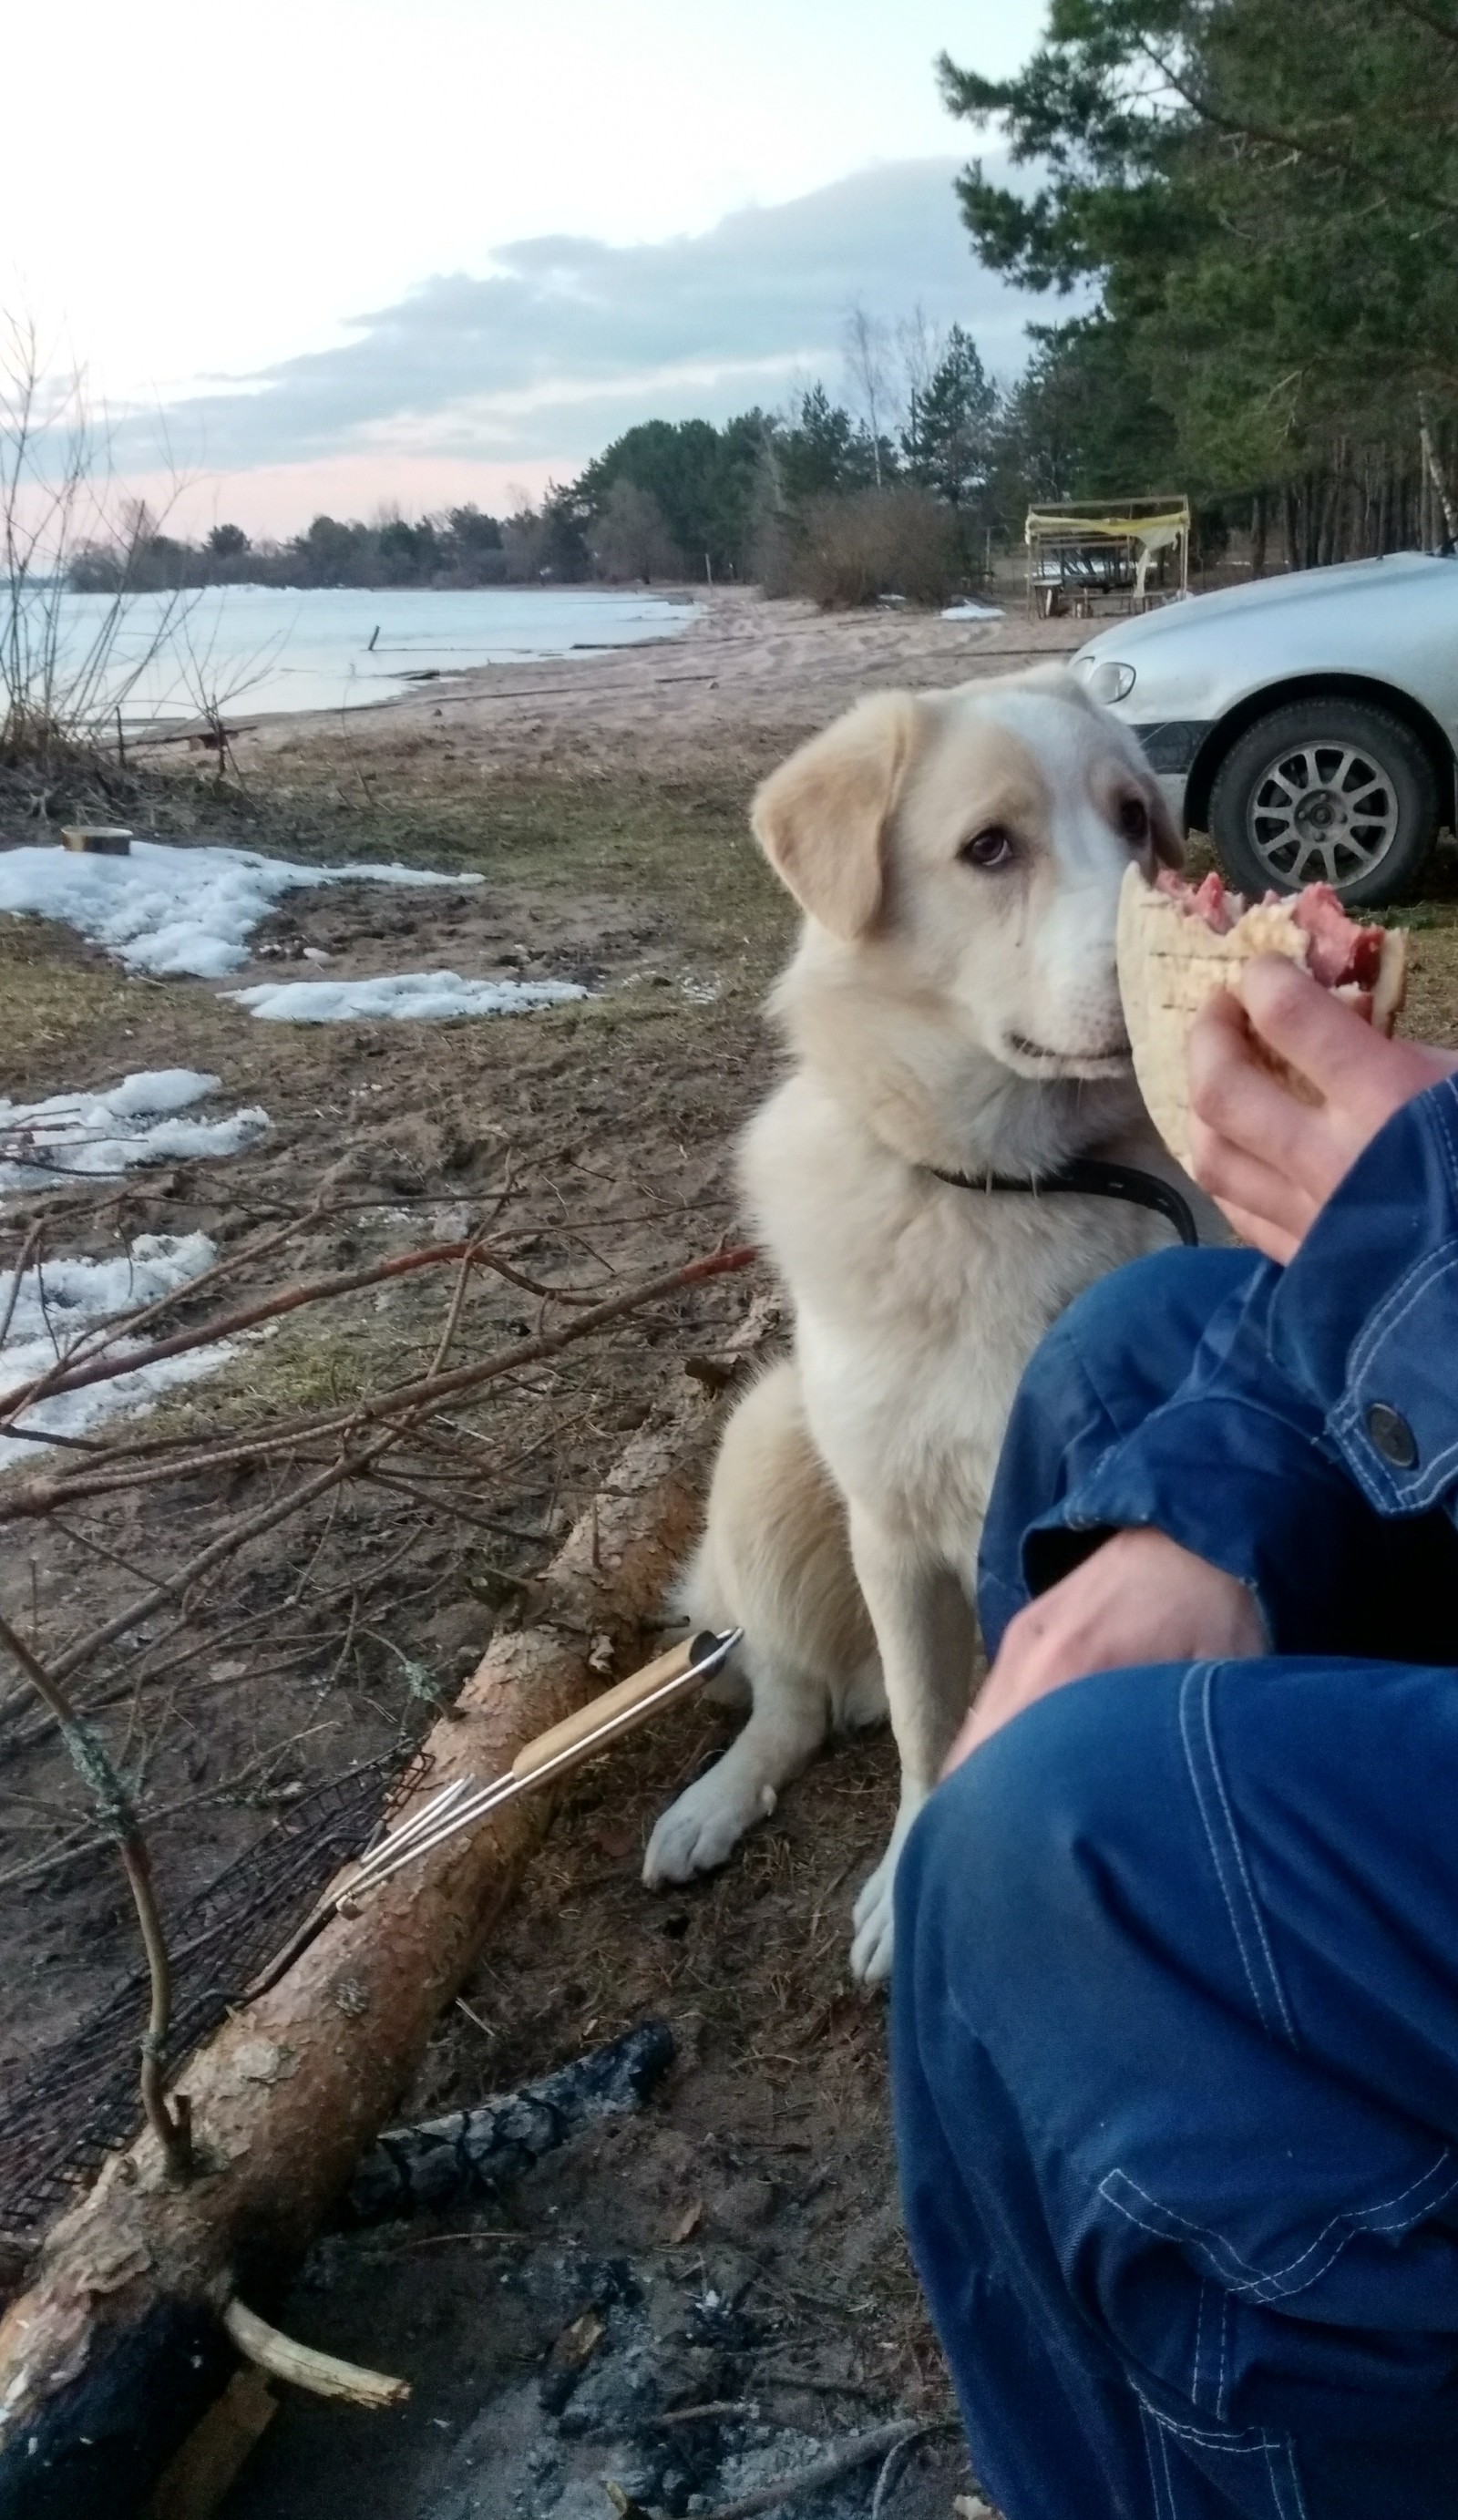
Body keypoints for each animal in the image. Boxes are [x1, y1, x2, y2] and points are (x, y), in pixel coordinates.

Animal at [649, 675, 1208, 1985]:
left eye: (1134, 820)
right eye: (989, 848)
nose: (1156, 957)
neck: (1015, 1187)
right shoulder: (895, 1536)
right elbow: (923, 1726)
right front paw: (907, 1885)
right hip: (766, 1437)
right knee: (792, 1700)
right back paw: (711, 1804)